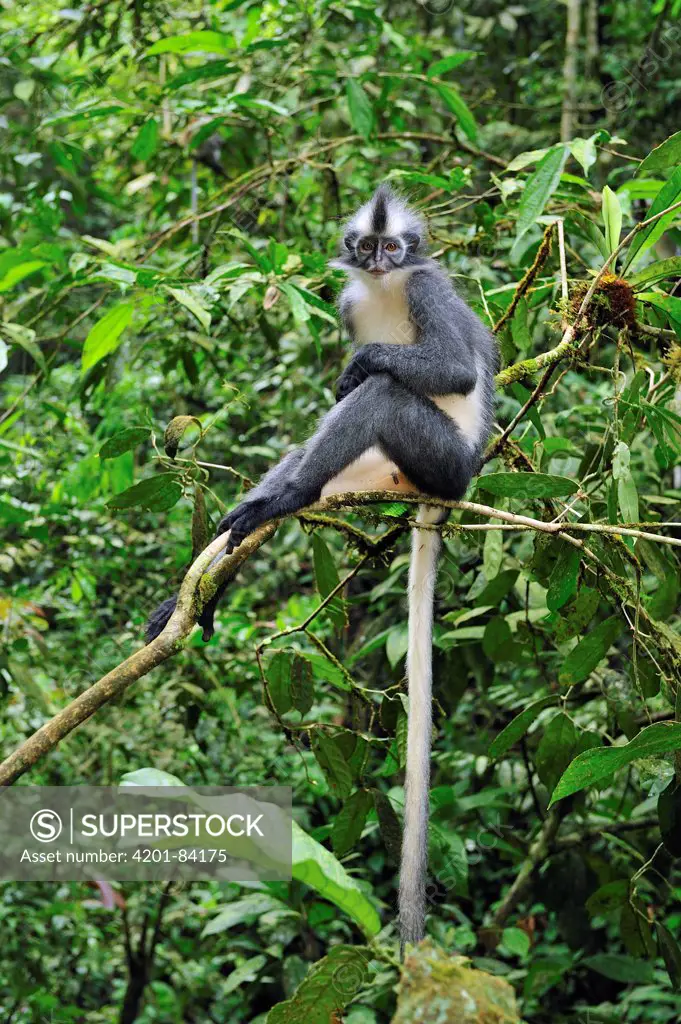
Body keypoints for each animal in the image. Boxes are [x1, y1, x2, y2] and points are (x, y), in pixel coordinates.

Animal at [146, 184, 497, 950]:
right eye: (366, 249)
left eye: (395, 247)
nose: (381, 259)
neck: (386, 290)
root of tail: (446, 490)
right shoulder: (348, 300)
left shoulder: (425, 288)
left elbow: (450, 369)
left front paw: (363, 363)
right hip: (386, 470)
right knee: (314, 451)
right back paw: (236, 547)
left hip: (437, 459)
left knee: (380, 396)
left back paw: (291, 491)